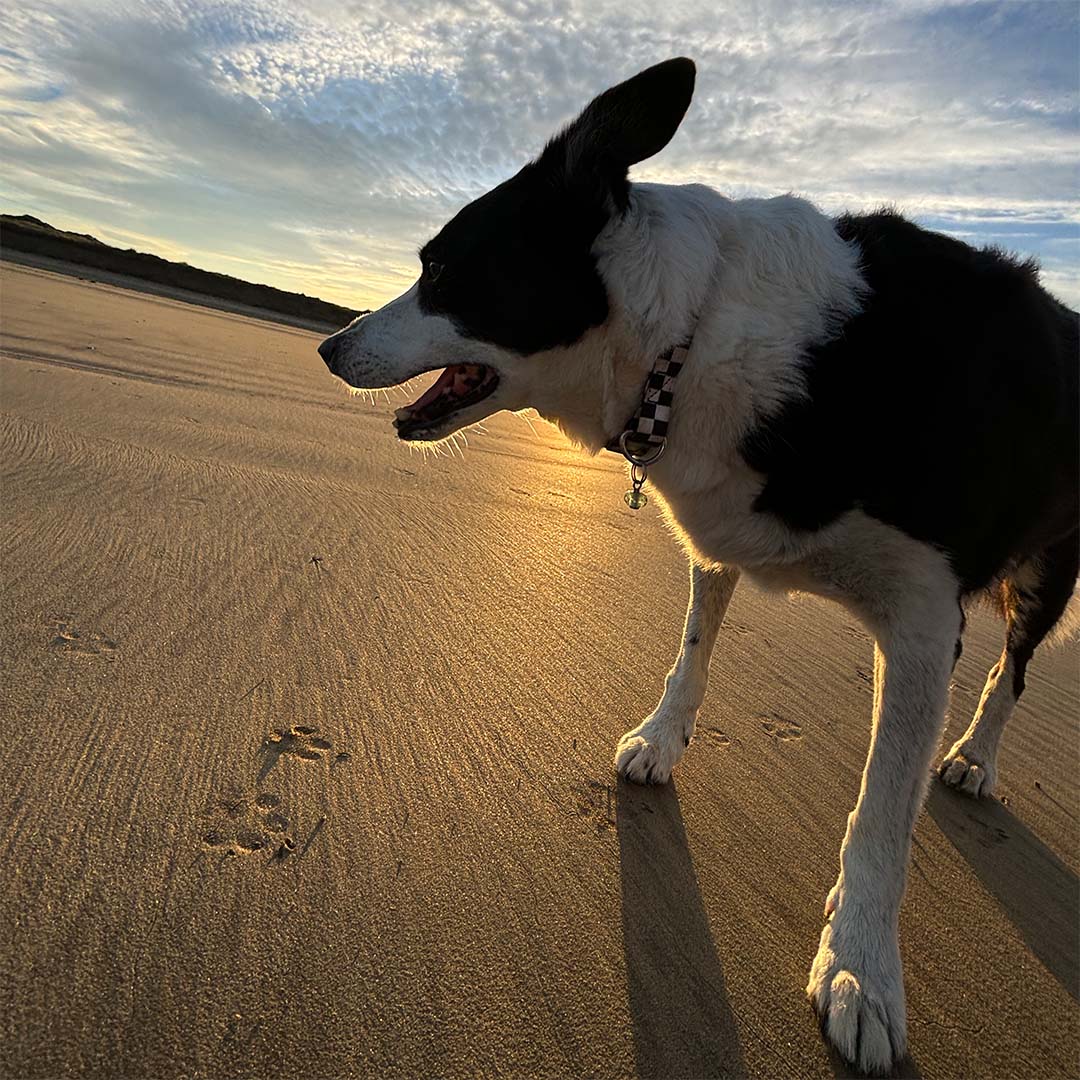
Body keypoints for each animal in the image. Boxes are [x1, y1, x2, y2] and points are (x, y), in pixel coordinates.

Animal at [315, 61, 1075, 1080]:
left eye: (440, 271)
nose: (328, 344)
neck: (691, 334)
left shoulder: (924, 620)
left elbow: (881, 817)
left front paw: (860, 970)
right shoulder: (720, 534)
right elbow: (693, 648)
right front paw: (660, 739)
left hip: (1049, 565)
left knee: (1014, 670)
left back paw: (977, 758)